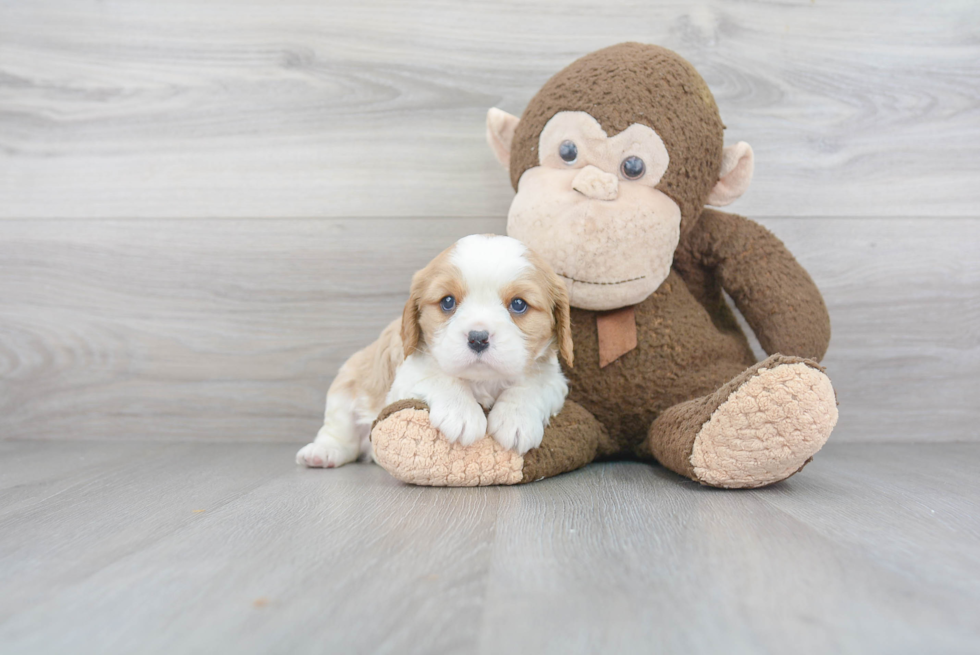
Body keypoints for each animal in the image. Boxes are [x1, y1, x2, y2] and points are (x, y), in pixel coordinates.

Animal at [298, 233, 576, 468]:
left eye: (518, 304)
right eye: (448, 302)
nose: (477, 338)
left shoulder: (554, 380)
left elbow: (531, 385)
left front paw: (516, 419)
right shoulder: (407, 373)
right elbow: (438, 375)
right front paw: (461, 413)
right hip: (346, 385)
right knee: (339, 432)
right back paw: (323, 453)